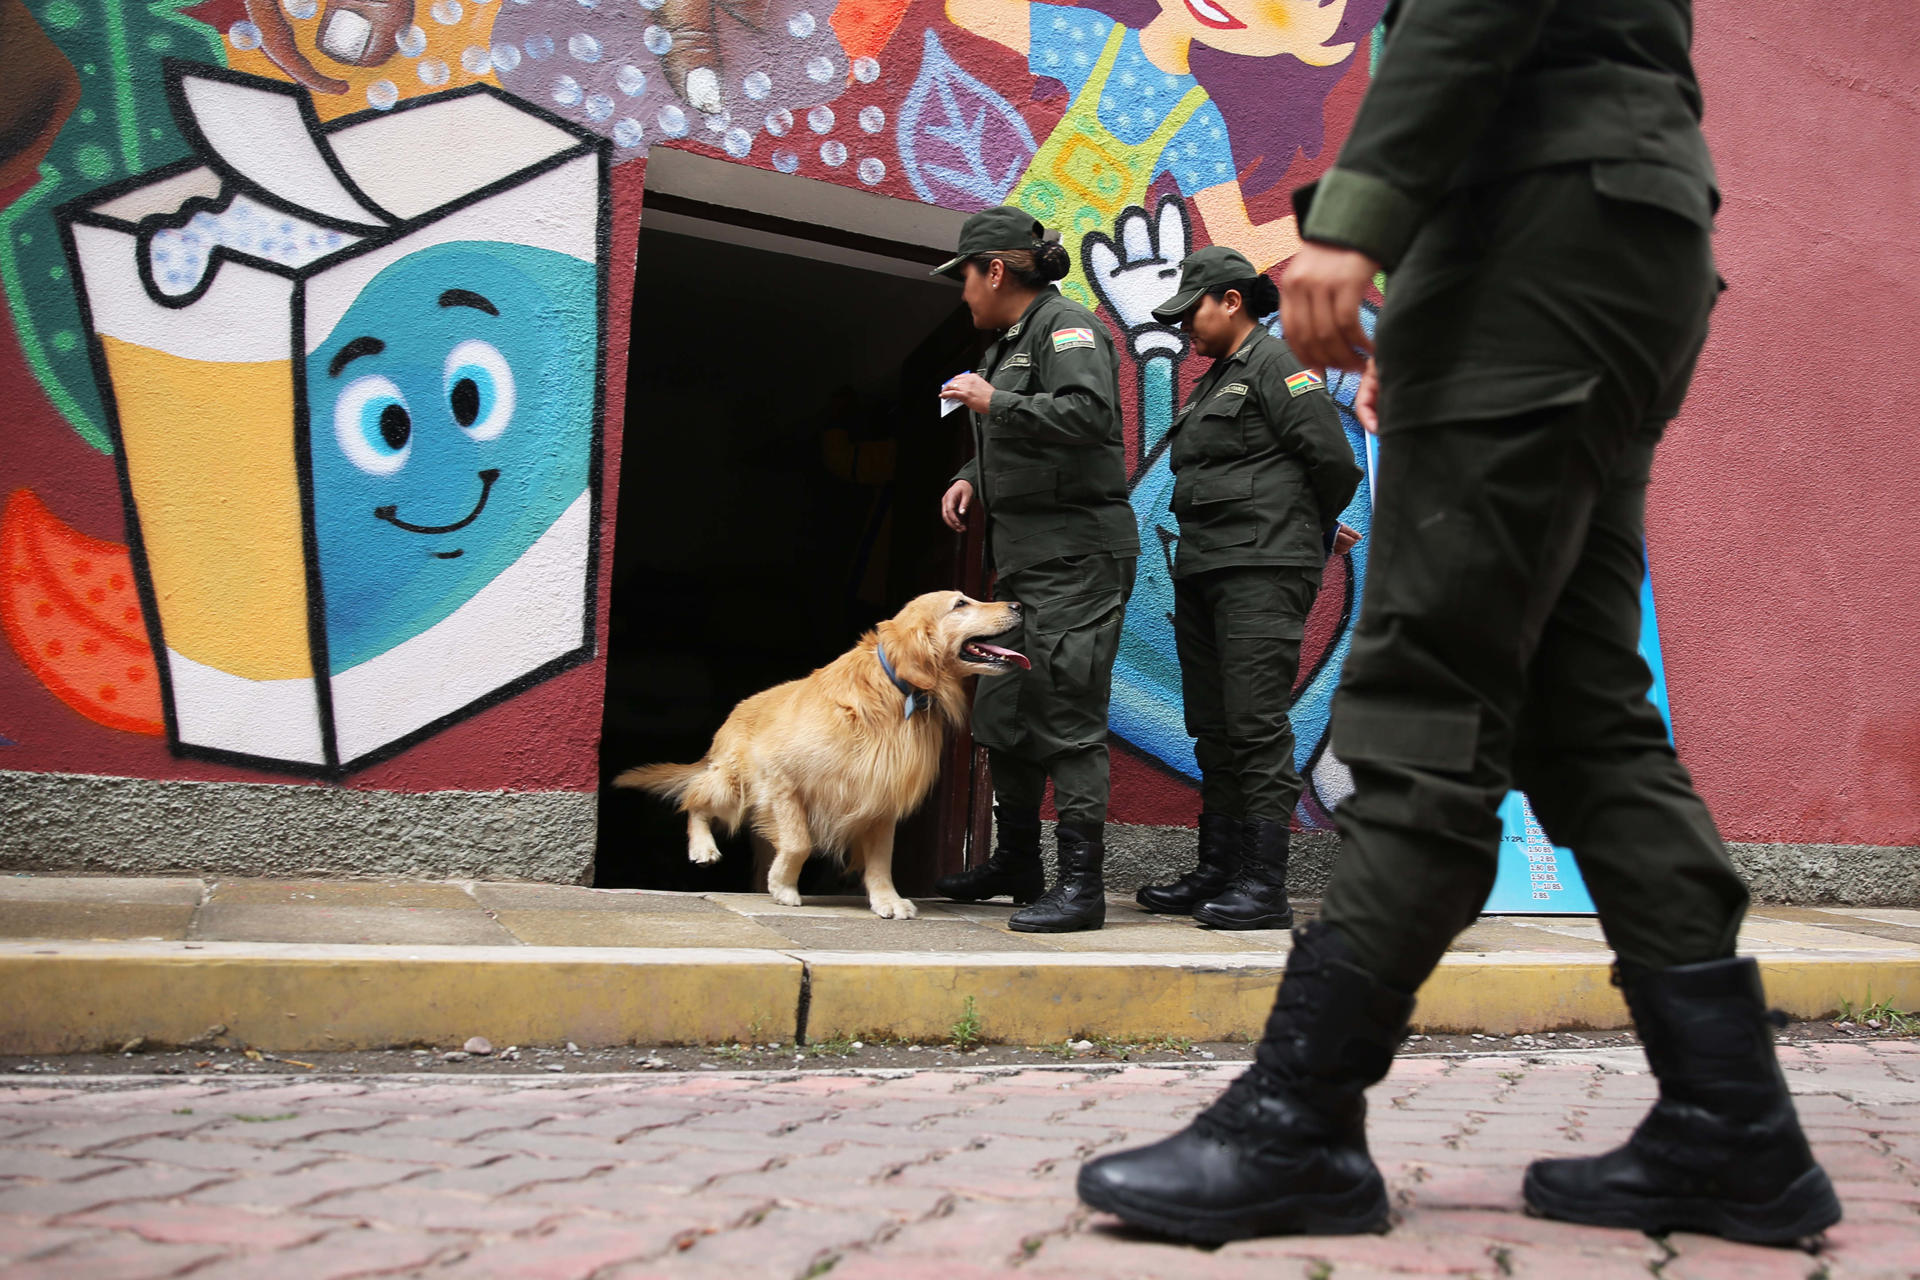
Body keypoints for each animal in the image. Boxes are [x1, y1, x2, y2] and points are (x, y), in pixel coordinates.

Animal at [622, 591, 1029, 921]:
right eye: (960, 604)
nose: (1018, 605)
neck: (893, 690)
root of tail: (736, 710)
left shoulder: (882, 796)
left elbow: (880, 860)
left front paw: (887, 900)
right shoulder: (782, 781)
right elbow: (799, 842)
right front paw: (784, 886)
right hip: (732, 784)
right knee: (694, 800)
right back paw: (703, 847)